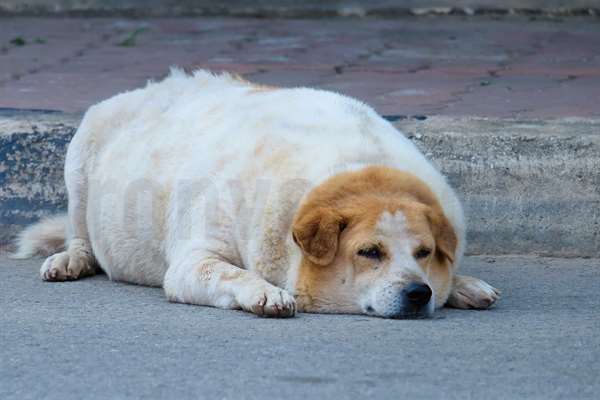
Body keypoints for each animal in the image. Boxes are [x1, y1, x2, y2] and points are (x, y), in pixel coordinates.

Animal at [15, 69, 502, 318]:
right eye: (369, 253)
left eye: (423, 252)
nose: (418, 293)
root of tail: (150, 87)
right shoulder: (195, 258)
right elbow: (228, 273)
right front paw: (266, 294)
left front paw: (462, 284)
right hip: (81, 154)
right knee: (79, 233)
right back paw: (70, 259)